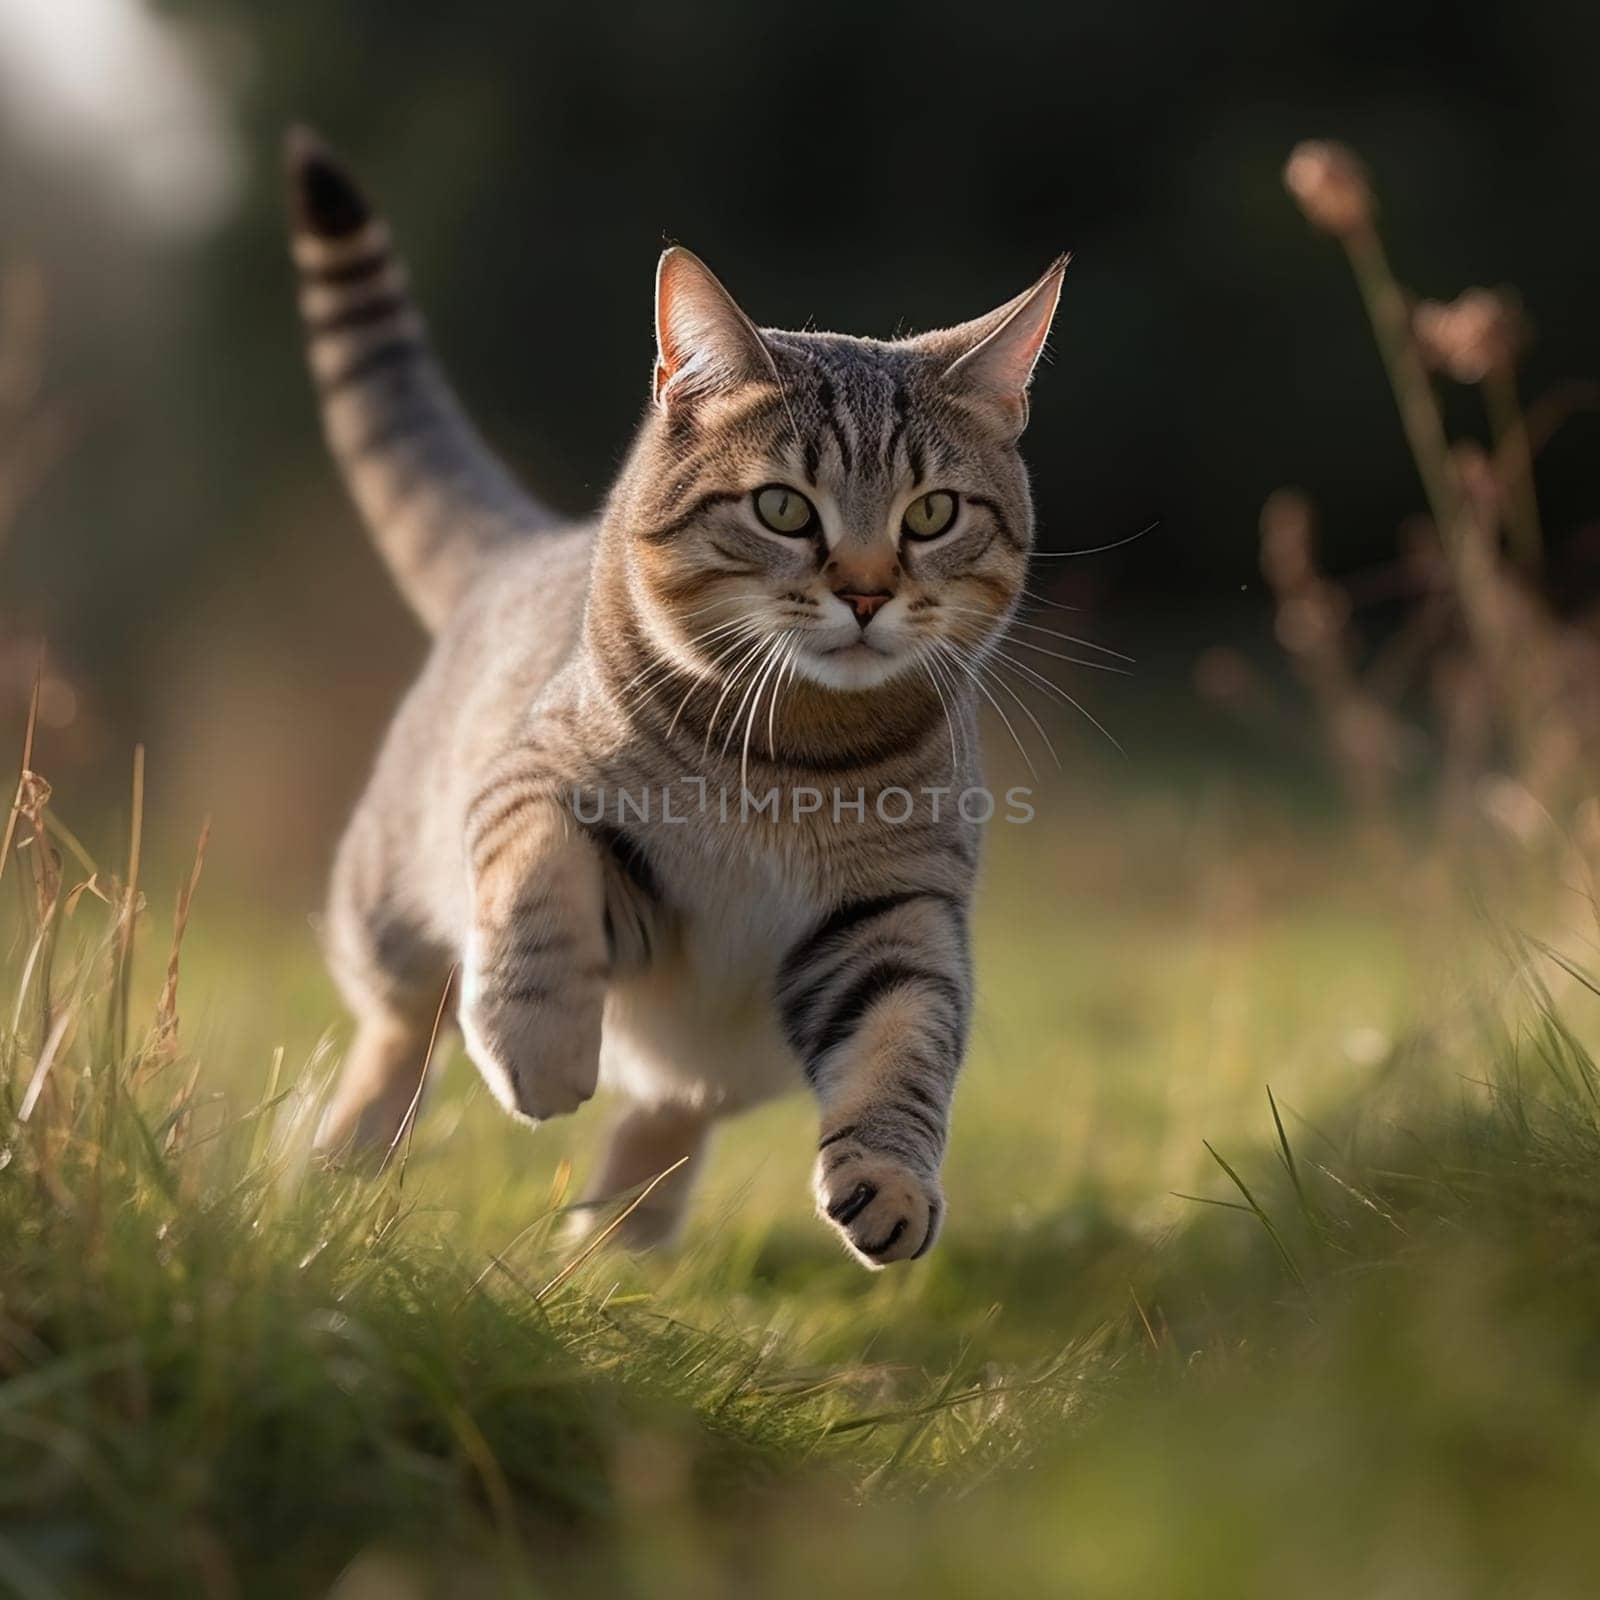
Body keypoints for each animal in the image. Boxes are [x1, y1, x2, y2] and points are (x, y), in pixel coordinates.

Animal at [288, 128, 1062, 1260]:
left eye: (931, 514)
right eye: (784, 507)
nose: (867, 591)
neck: (795, 756)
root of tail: (521, 545)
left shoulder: (897, 907)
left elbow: (903, 1041)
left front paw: (889, 1179)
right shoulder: (540, 792)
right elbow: (539, 880)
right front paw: (537, 1046)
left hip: (741, 1051)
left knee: (674, 1104)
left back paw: (617, 1243)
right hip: (386, 898)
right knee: (401, 1027)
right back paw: (341, 1164)